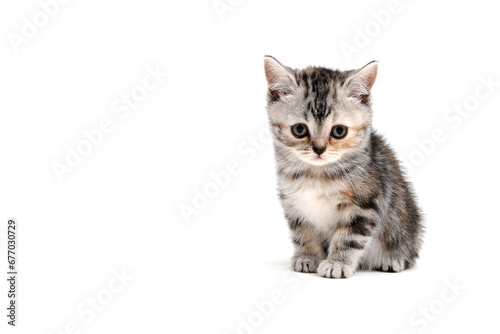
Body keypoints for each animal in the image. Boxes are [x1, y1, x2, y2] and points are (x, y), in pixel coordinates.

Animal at [264, 55, 424, 280]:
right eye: (299, 129)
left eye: (339, 131)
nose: (319, 149)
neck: (316, 175)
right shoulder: (293, 204)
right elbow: (303, 232)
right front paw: (307, 256)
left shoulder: (365, 204)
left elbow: (349, 237)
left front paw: (337, 263)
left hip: (406, 221)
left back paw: (394, 259)